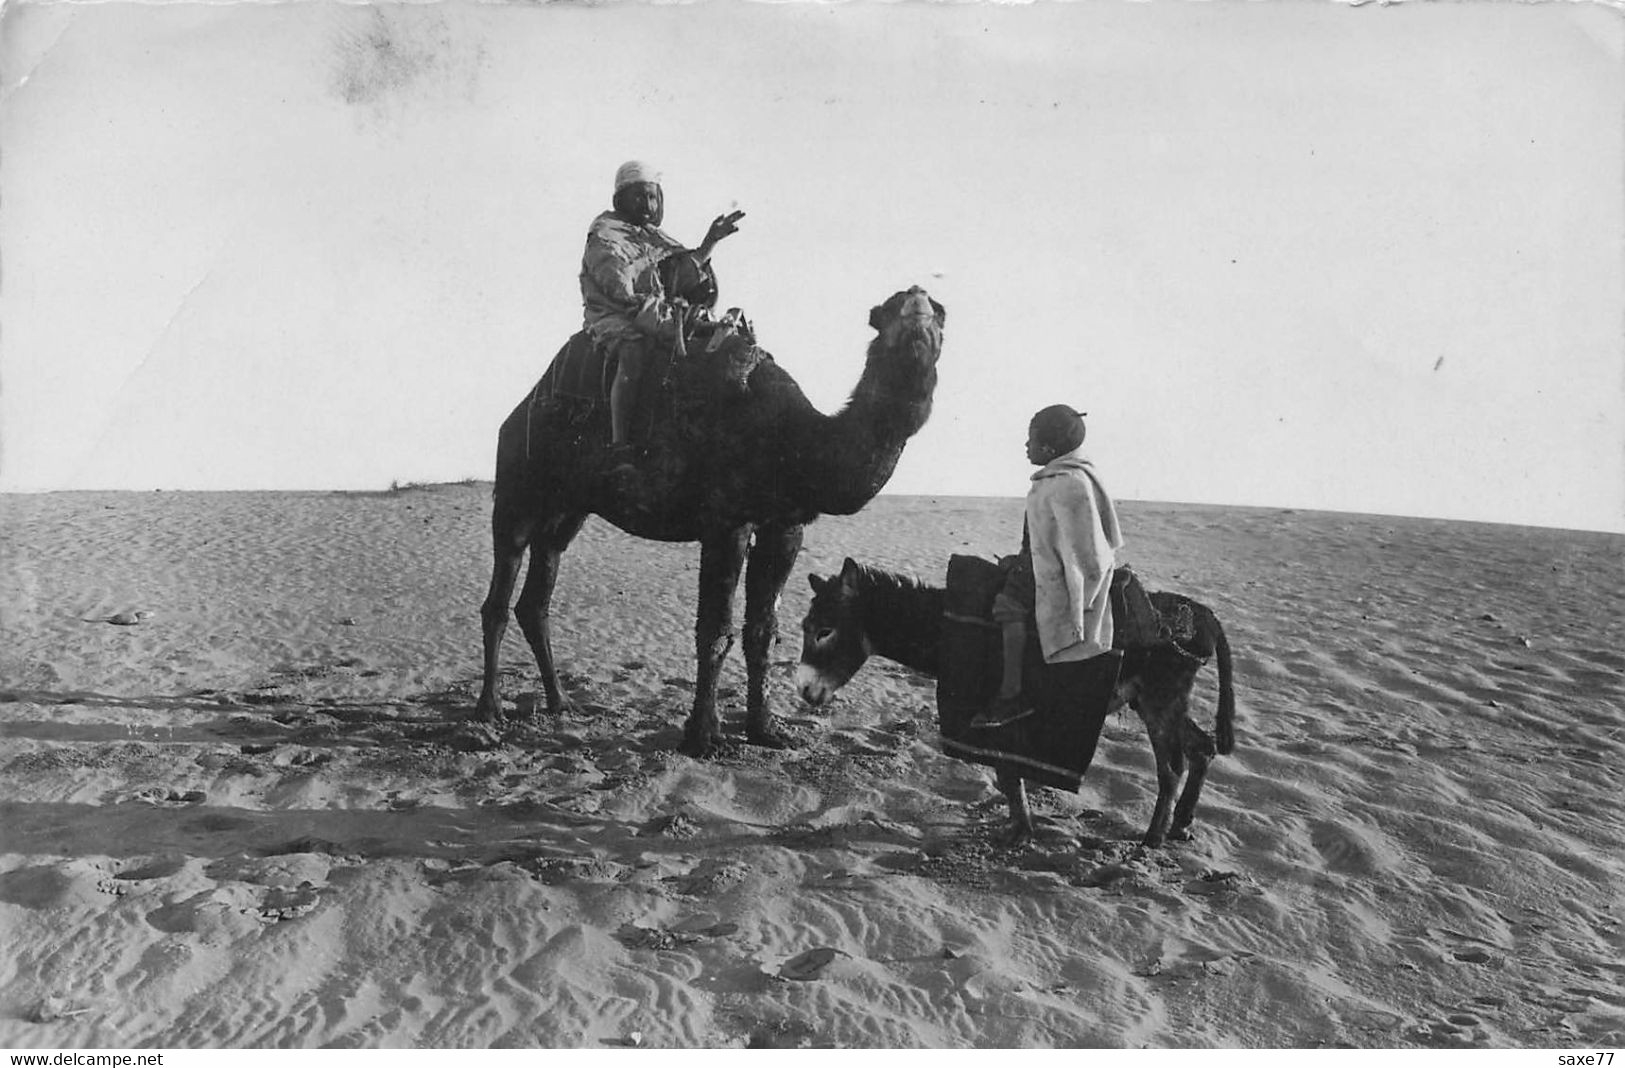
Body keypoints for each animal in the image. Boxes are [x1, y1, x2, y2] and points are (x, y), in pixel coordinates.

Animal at [474, 287, 949, 754]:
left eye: (940, 316)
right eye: (888, 313)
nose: (919, 301)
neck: (795, 440)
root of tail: (520, 410)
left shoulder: (785, 526)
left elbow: (762, 631)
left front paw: (765, 729)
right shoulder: (726, 522)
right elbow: (716, 631)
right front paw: (703, 736)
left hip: (567, 510)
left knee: (537, 596)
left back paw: (560, 702)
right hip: (518, 488)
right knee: (499, 595)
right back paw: (489, 710)